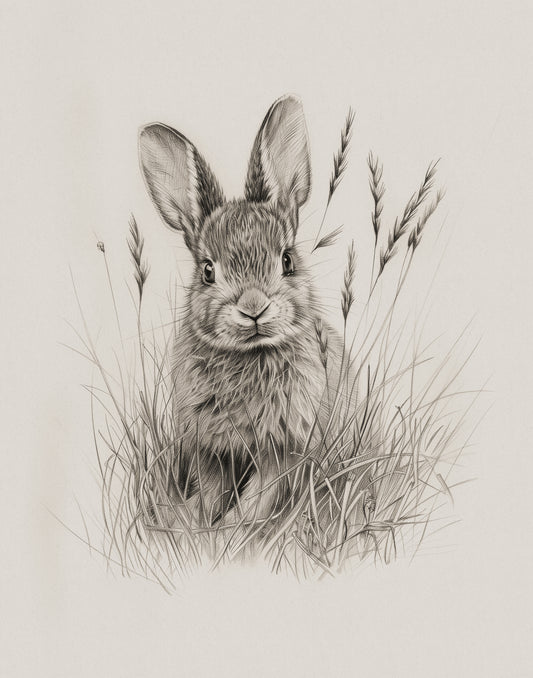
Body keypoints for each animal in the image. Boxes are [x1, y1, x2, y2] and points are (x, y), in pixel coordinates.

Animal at [139, 94, 343, 527]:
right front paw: (186, 524)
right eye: (207, 271)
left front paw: (230, 533)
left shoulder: (283, 451)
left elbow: (257, 502)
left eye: (287, 260)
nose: (253, 308)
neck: (248, 356)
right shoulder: (209, 450)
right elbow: (210, 494)